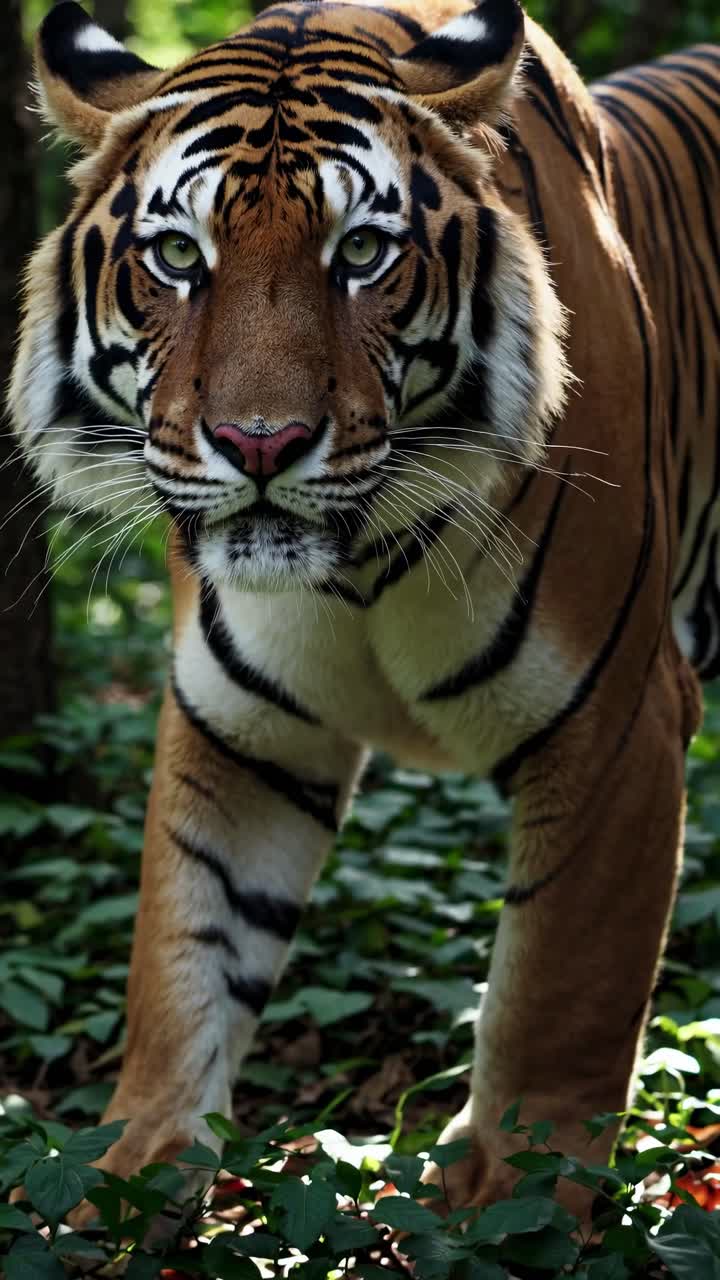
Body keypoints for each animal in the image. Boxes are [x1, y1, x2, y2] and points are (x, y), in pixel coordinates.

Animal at [9, 0, 719, 1222]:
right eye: (179, 256)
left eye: (360, 254)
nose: (259, 445)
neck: (360, 560)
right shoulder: (238, 730)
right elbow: (183, 956)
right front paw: (129, 1172)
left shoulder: (617, 721)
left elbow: (560, 992)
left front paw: (508, 1197)